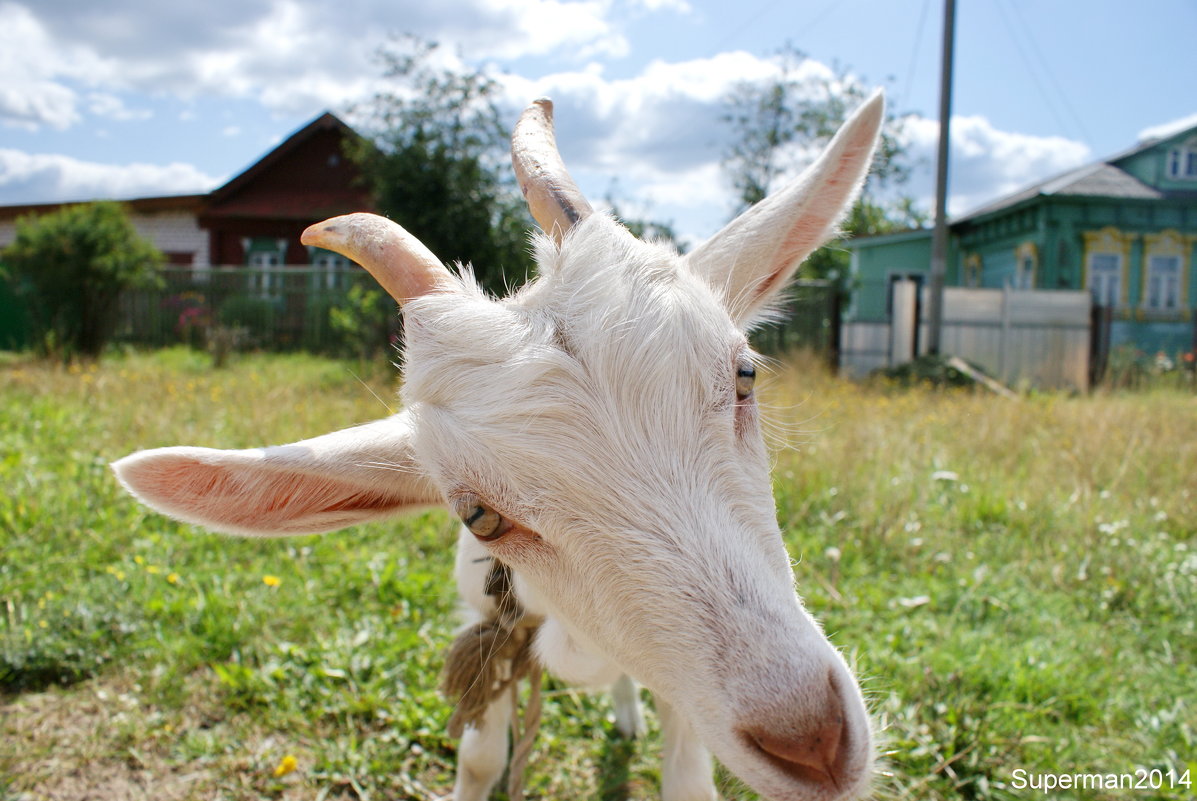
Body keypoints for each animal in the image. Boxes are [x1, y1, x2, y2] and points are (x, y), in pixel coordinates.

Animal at [114, 95, 880, 799]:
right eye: (478, 515)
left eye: (745, 374)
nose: (811, 740)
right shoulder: (492, 629)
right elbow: (481, 757)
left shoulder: (689, 702)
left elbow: (687, 775)